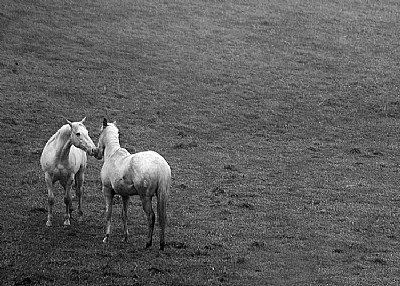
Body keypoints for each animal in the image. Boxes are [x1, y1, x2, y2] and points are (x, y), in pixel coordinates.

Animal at [94, 117, 171, 249]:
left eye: (99, 132)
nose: (96, 153)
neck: (112, 155)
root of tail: (160, 165)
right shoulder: (125, 195)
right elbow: (124, 214)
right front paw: (125, 238)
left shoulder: (107, 191)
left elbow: (109, 213)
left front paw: (106, 237)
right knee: (162, 218)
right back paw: (161, 245)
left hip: (145, 197)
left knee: (151, 216)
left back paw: (148, 243)